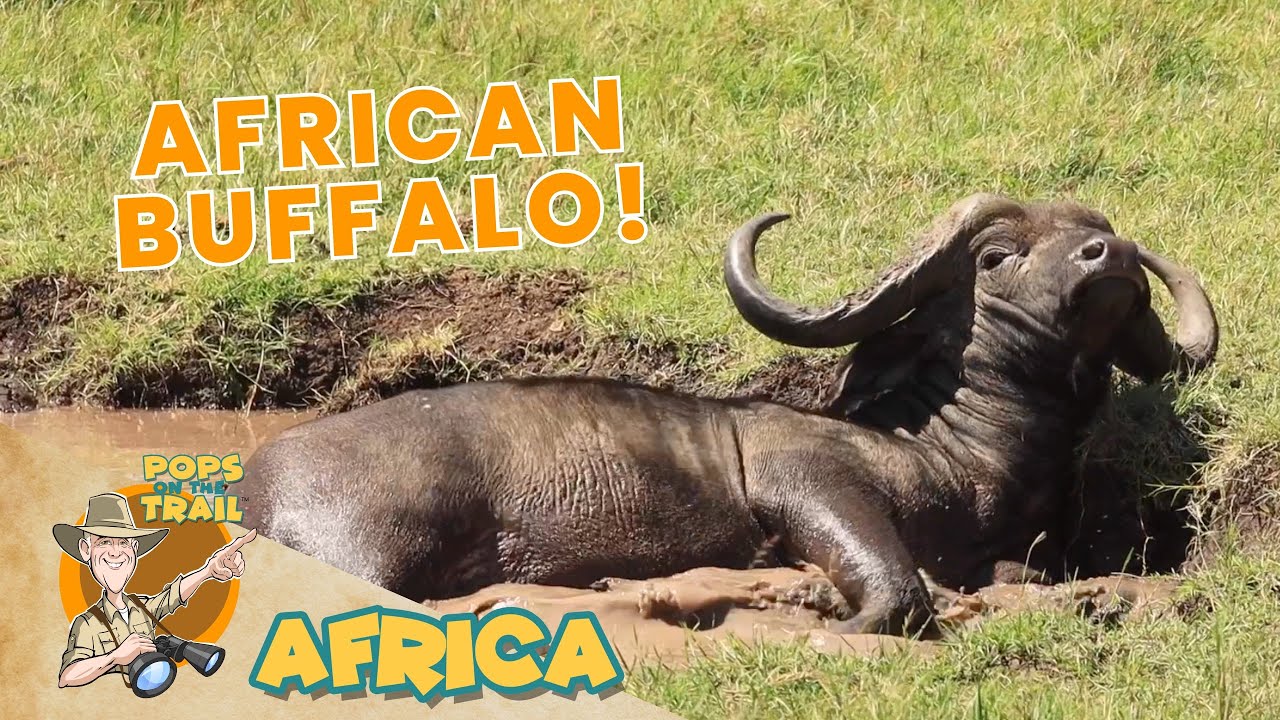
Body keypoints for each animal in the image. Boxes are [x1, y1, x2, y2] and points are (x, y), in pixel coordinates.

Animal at [242, 193, 1217, 635]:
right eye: (997, 254)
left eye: (1097, 229)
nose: (1109, 256)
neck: (968, 452)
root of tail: (254, 483)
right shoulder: (812, 485)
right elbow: (897, 587)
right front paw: (830, 608)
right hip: (363, 549)